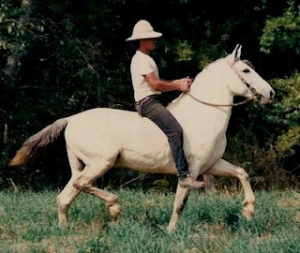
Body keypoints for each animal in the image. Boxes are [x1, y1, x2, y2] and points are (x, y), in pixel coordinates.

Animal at [10, 45, 276, 231]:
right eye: (246, 70)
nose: (270, 93)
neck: (203, 115)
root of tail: (71, 119)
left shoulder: (212, 165)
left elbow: (242, 173)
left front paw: (249, 211)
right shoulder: (192, 171)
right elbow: (180, 202)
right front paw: (171, 232)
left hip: (82, 166)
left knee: (65, 197)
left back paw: (65, 230)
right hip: (101, 162)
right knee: (80, 186)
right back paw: (114, 207)